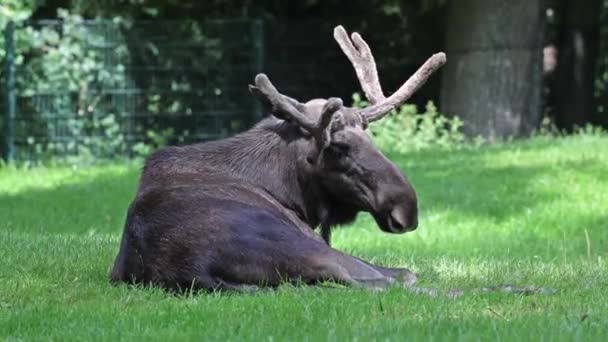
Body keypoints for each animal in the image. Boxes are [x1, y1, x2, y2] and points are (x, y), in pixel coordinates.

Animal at [110, 26, 446, 292]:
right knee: (389, 281)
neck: (292, 192)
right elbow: (405, 273)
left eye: (369, 138)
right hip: (310, 248)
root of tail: (194, 269)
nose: (406, 208)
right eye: (337, 148)